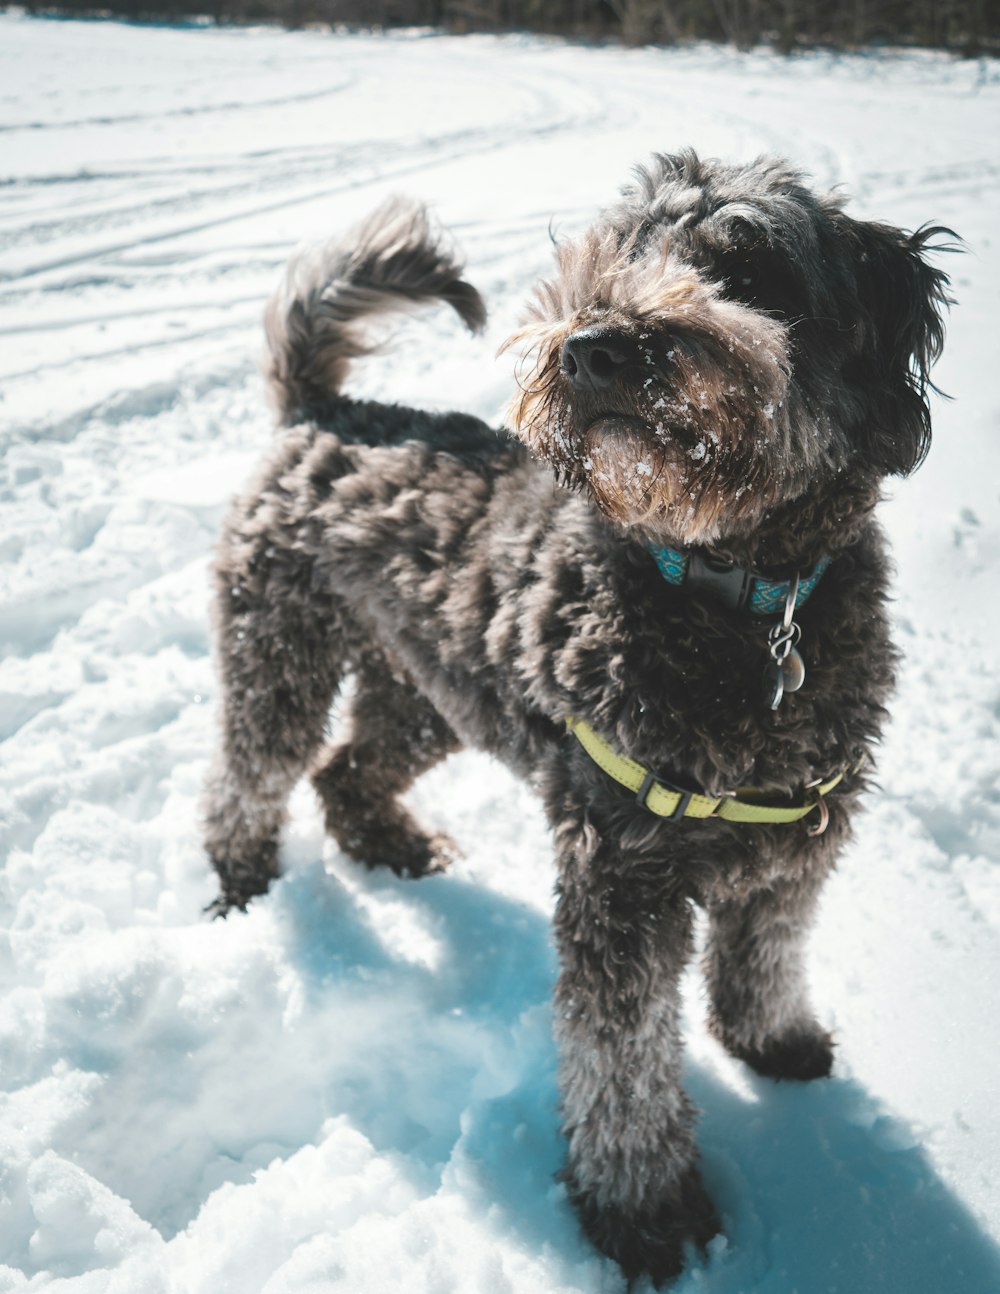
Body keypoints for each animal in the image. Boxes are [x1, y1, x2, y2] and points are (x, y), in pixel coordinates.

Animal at [200, 151, 952, 1283]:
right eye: (614, 254)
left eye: (751, 271)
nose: (596, 348)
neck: (741, 595)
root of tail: (320, 412)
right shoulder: (620, 876)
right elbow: (623, 1067)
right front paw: (645, 1213)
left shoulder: (797, 839)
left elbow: (768, 950)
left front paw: (771, 1042)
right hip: (280, 648)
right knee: (251, 773)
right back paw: (242, 880)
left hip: (427, 693)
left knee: (346, 769)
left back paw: (390, 845)